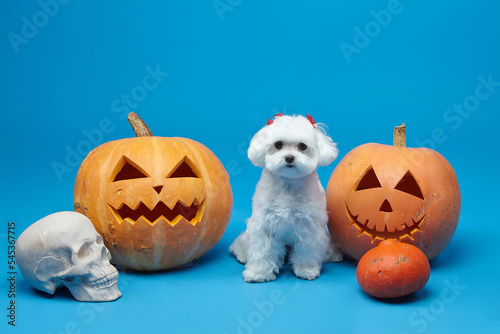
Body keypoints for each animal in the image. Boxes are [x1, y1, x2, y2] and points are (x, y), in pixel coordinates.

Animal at [231, 113, 344, 282]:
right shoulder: (264, 225)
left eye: (302, 146)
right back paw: (242, 254)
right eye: (278, 145)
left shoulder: (309, 227)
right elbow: (262, 250)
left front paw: (307, 270)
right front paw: (259, 273)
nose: (289, 158)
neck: (289, 184)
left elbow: (307, 251)